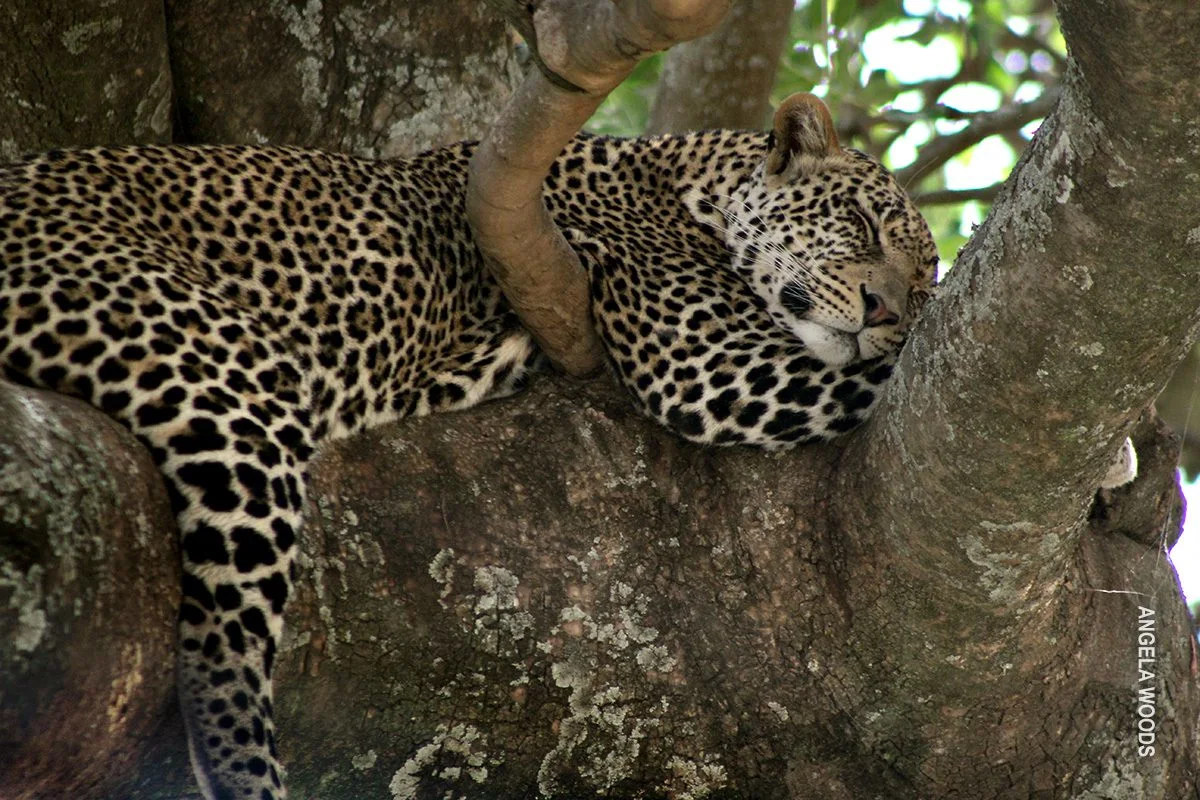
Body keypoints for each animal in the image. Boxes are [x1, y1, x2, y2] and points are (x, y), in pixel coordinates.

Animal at [0, 93, 937, 800]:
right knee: (221, 644)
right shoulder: (708, 362)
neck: (686, 182)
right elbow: (865, 374)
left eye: (926, 288)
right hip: (219, 369)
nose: (888, 312)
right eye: (861, 223)